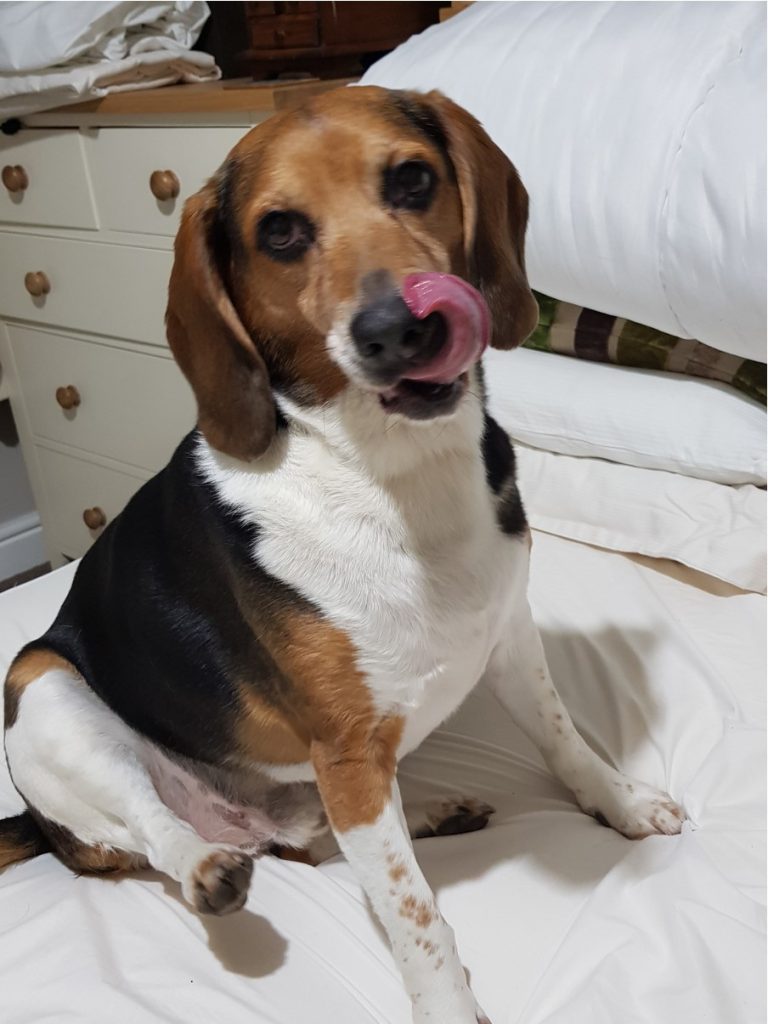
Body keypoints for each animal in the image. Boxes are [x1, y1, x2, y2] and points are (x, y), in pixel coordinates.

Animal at [1, 87, 685, 1023]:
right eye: (280, 231)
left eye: (412, 179)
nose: (400, 328)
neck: (394, 477)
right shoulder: (348, 751)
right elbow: (414, 912)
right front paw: (447, 1008)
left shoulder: (510, 641)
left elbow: (566, 741)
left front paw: (621, 804)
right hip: (43, 689)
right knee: (157, 828)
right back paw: (205, 866)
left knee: (315, 842)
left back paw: (428, 813)